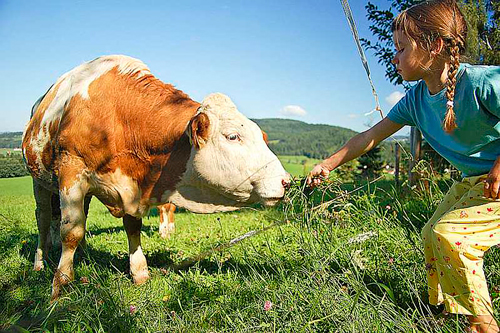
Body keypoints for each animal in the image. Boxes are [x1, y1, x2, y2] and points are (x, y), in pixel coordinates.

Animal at [22, 54, 290, 298]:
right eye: (233, 136)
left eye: (263, 136)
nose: (286, 181)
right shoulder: (72, 172)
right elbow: (71, 232)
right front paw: (61, 285)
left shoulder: (131, 187)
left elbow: (132, 227)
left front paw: (139, 272)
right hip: (40, 181)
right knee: (44, 219)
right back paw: (40, 262)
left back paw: (85, 253)